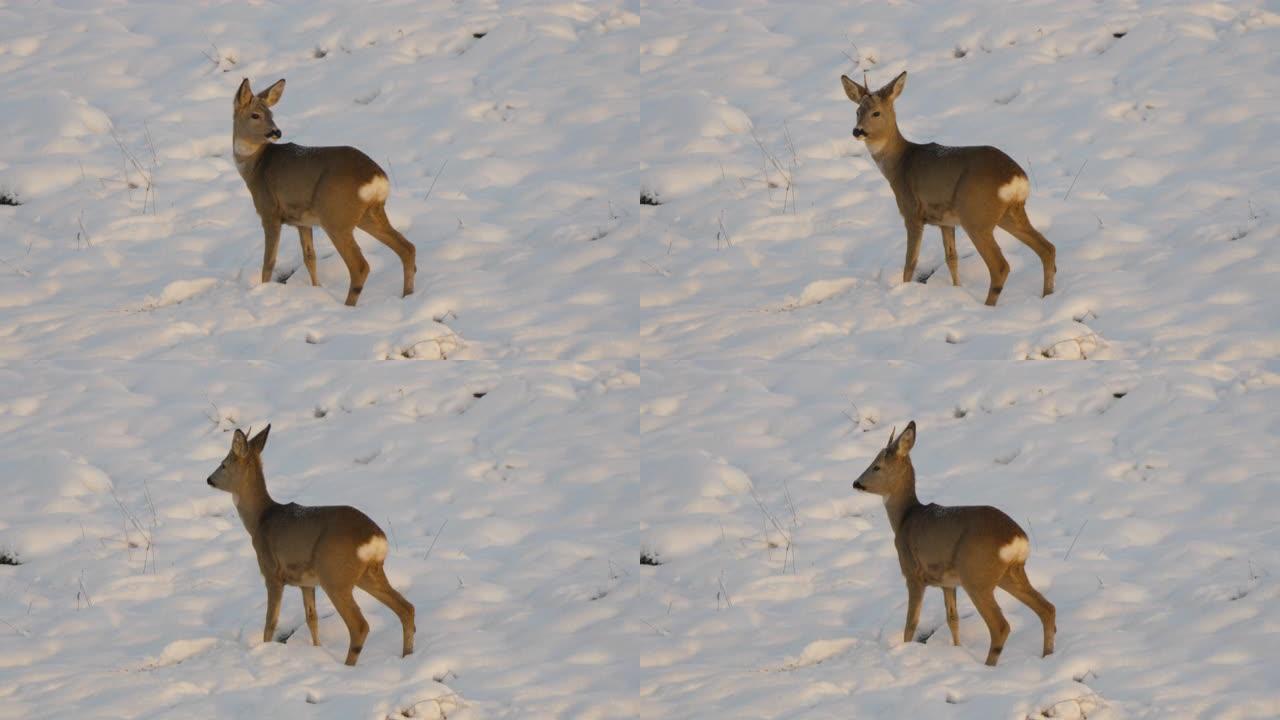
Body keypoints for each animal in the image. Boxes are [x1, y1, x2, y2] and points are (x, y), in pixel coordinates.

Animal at [206, 422, 414, 666]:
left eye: (223, 464)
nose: (209, 479)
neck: (259, 520)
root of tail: (375, 539)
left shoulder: (272, 573)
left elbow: (270, 622)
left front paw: (265, 650)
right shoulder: (306, 582)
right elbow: (311, 618)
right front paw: (317, 650)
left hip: (335, 575)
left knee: (360, 625)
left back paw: (347, 666)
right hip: (368, 573)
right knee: (406, 608)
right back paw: (407, 655)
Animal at [227, 77, 412, 304]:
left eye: (271, 114)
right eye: (256, 115)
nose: (276, 132)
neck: (255, 167)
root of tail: (377, 178)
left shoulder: (269, 212)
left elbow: (269, 262)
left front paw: (263, 290)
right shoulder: (302, 221)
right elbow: (310, 257)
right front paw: (317, 289)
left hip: (336, 217)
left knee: (361, 266)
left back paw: (348, 306)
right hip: (369, 213)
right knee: (407, 248)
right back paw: (408, 295)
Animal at [834, 73, 1054, 304]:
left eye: (876, 112)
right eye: (857, 111)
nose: (857, 131)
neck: (899, 163)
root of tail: (1017, 178)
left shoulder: (912, 212)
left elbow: (910, 262)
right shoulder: (946, 221)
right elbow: (951, 258)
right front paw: (957, 289)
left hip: (976, 216)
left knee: (1001, 266)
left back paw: (988, 306)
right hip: (1009, 213)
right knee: (1047, 248)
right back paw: (1048, 295)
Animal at [855, 420, 1054, 661]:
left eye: (876, 466)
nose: (856, 483)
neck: (905, 518)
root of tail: (1017, 539)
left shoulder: (913, 574)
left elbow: (911, 623)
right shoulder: (948, 583)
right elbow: (953, 619)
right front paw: (958, 649)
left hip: (976, 576)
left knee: (1001, 626)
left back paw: (988, 665)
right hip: (1010, 573)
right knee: (1047, 609)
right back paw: (1047, 655)